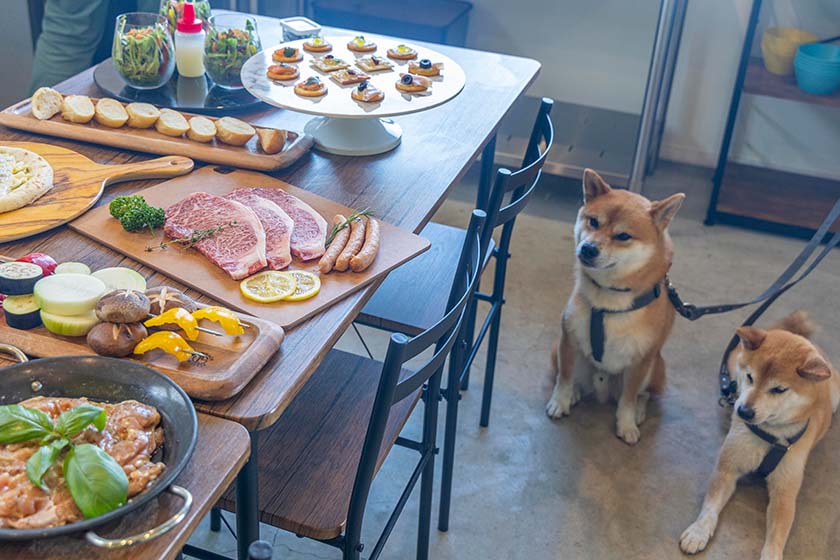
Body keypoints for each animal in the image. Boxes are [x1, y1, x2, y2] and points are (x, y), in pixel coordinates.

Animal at [544, 168, 684, 444]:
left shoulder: (641, 360)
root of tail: (602, 386)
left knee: (643, 394)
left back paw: (639, 410)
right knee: (569, 375)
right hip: (558, 350)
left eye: (623, 236)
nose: (588, 248)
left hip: (656, 367)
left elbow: (628, 399)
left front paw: (626, 423)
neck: (608, 299)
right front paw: (560, 401)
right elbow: (564, 377)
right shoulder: (569, 339)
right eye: (593, 222)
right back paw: (576, 392)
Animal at [680, 312, 836, 556]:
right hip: (731, 365)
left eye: (779, 389)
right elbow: (710, 505)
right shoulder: (727, 468)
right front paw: (698, 531)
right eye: (750, 377)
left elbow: (777, 536)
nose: (743, 411)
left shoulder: (785, 492)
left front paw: (771, 555)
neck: (770, 433)